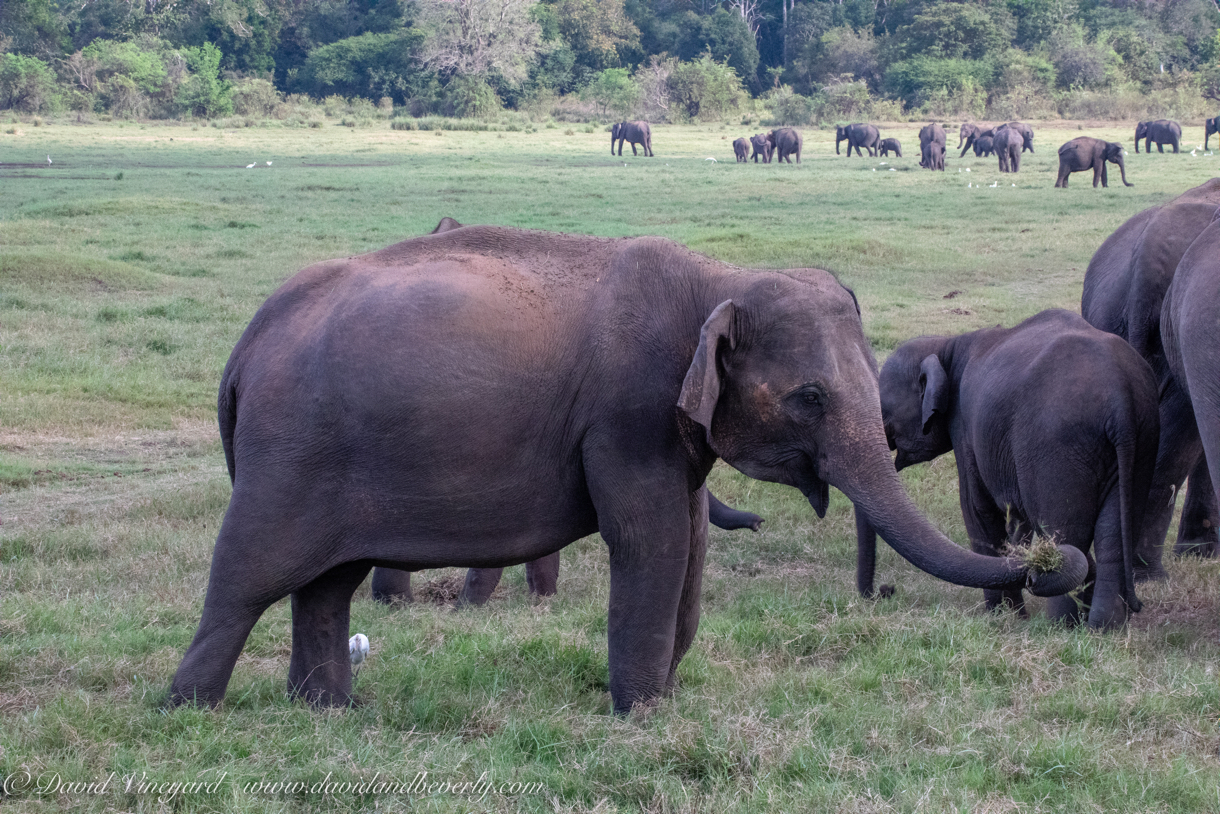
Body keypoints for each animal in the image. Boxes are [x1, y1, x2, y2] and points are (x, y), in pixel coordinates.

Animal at [164, 223, 1088, 712]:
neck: (715, 280)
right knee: (248, 574)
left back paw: (327, 709)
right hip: (292, 451)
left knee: (327, 584)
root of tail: (247, 344)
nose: (1054, 556)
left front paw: (664, 700)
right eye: (810, 398)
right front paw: (641, 713)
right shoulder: (626, 414)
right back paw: (190, 709)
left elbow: (689, 542)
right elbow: (652, 541)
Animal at [863, 309, 1156, 629]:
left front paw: (1003, 615)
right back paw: (1104, 628)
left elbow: (977, 509)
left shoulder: (965, 426)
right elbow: (1018, 516)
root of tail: (1121, 400)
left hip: (1058, 445)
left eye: (885, 412)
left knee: (1065, 531)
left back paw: (1061, 626)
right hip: (1140, 443)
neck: (946, 345)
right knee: (1113, 534)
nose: (886, 590)